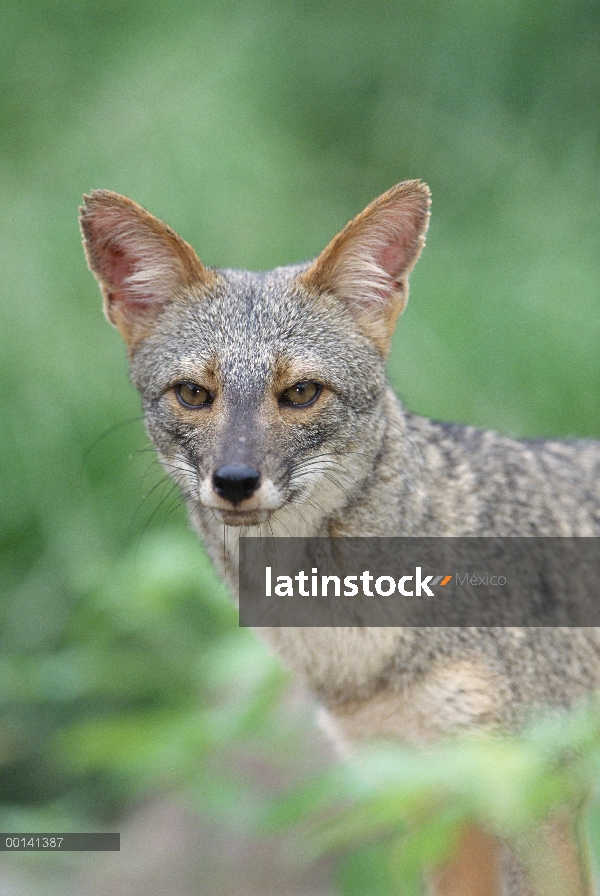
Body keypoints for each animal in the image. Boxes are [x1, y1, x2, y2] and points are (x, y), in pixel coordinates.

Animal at [81, 184, 600, 896]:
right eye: (193, 394)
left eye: (301, 393)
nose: (235, 482)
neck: (354, 653)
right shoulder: (433, 795)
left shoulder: (534, 794)